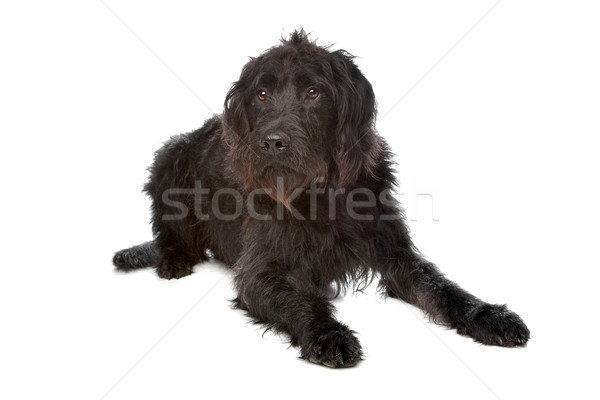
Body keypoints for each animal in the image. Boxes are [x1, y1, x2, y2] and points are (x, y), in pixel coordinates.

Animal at [113, 30, 528, 368]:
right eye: (261, 94)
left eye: (313, 92)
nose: (273, 143)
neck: (319, 193)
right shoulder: (259, 273)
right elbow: (299, 300)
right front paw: (328, 333)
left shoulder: (397, 257)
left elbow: (444, 289)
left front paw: (489, 315)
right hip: (169, 158)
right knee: (170, 233)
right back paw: (173, 259)